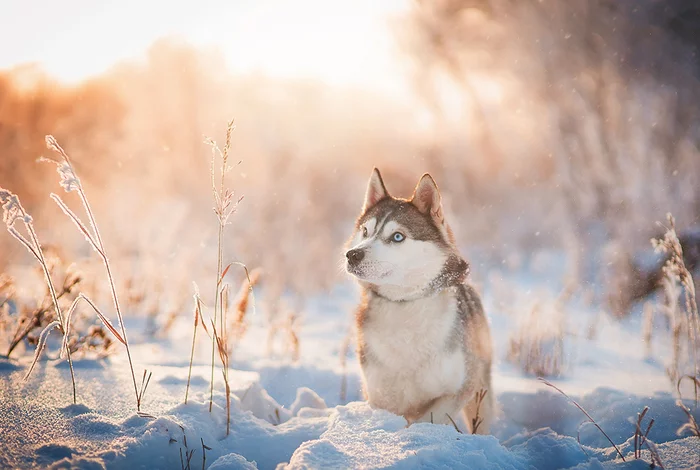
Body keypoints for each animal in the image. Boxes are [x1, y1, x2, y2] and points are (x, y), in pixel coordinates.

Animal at [344, 168, 492, 434]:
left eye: (397, 236)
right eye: (365, 232)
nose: (352, 255)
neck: (405, 304)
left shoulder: (457, 389)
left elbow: (426, 420)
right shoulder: (380, 397)